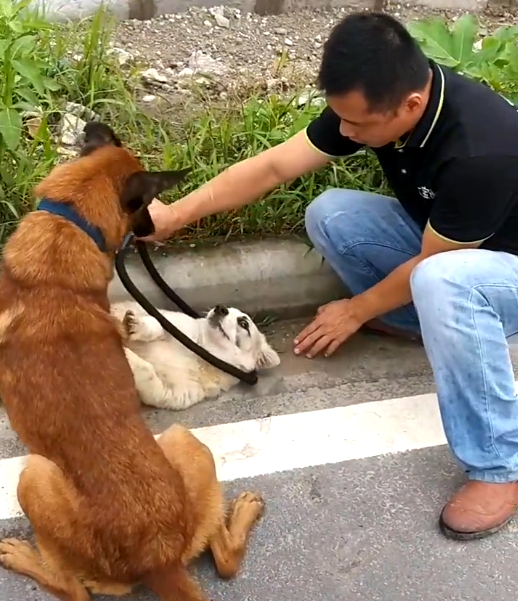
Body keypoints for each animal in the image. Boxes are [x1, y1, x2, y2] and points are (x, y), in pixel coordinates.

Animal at [109, 302, 280, 410]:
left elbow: (149, 374)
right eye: (228, 309)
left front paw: (128, 356)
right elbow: (157, 323)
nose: (220, 308)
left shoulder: (174, 394)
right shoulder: (171, 322)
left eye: (244, 324)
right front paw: (135, 325)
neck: (200, 354)